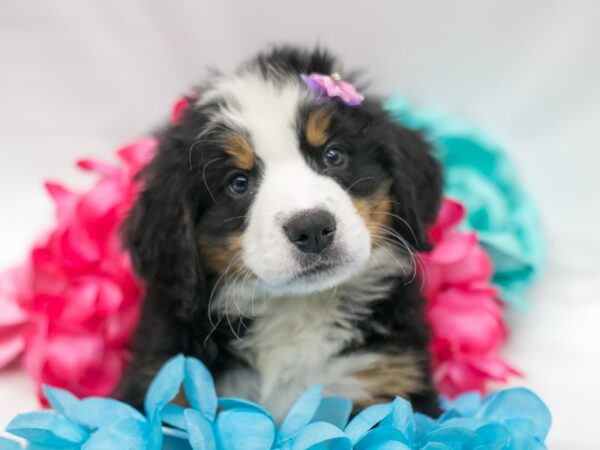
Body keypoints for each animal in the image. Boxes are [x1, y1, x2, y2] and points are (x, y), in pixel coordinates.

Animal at [118, 44, 446, 418]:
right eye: (238, 182)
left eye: (333, 155)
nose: (313, 228)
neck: (297, 309)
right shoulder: (167, 384)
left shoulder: (389, 378)